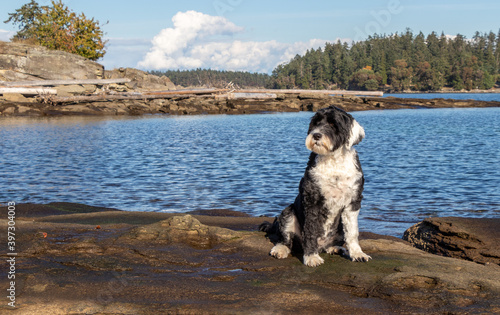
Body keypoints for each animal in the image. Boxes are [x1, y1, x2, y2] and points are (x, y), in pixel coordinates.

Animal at [262, 107, 372, 268]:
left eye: (333, 124)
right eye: (316, 123)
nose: (316, 135)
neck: (333, 162)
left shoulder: (353, 202)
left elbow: (352, 233)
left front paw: (358, 254)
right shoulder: (313, 200)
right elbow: (311, 231)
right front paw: (311, 257)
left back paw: (335, 248)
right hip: (288, 213)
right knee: (286, 240)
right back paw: (280, 249)